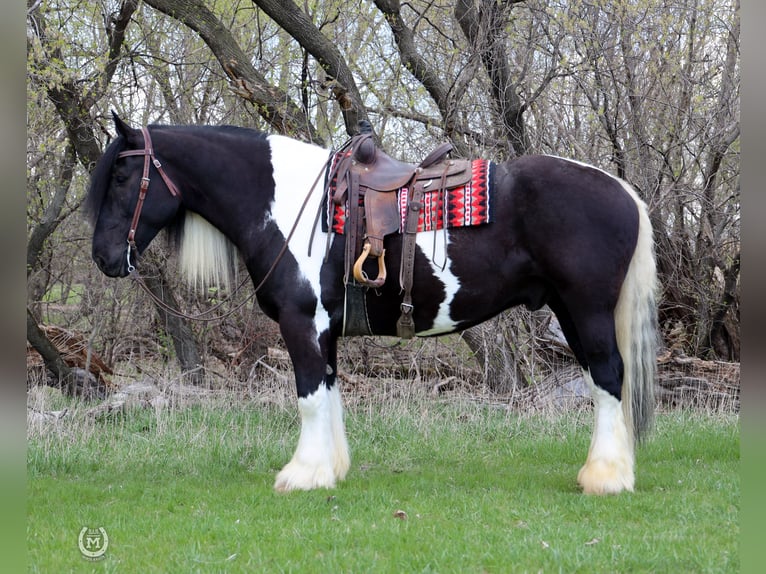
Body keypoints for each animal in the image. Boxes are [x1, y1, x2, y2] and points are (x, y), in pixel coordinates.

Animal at [85, 115, 660, 498]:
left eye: (121, 178)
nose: (104, 258)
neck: (286, 204)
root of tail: (622, 191)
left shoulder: (301, 323)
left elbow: (309, 396)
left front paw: (302, 475)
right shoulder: (325, 330)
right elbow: (329, 392)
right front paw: (330, 469)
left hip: (586, 309)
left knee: (609, 376)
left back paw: (606, 478)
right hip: (570, 312)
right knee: (600, 381)